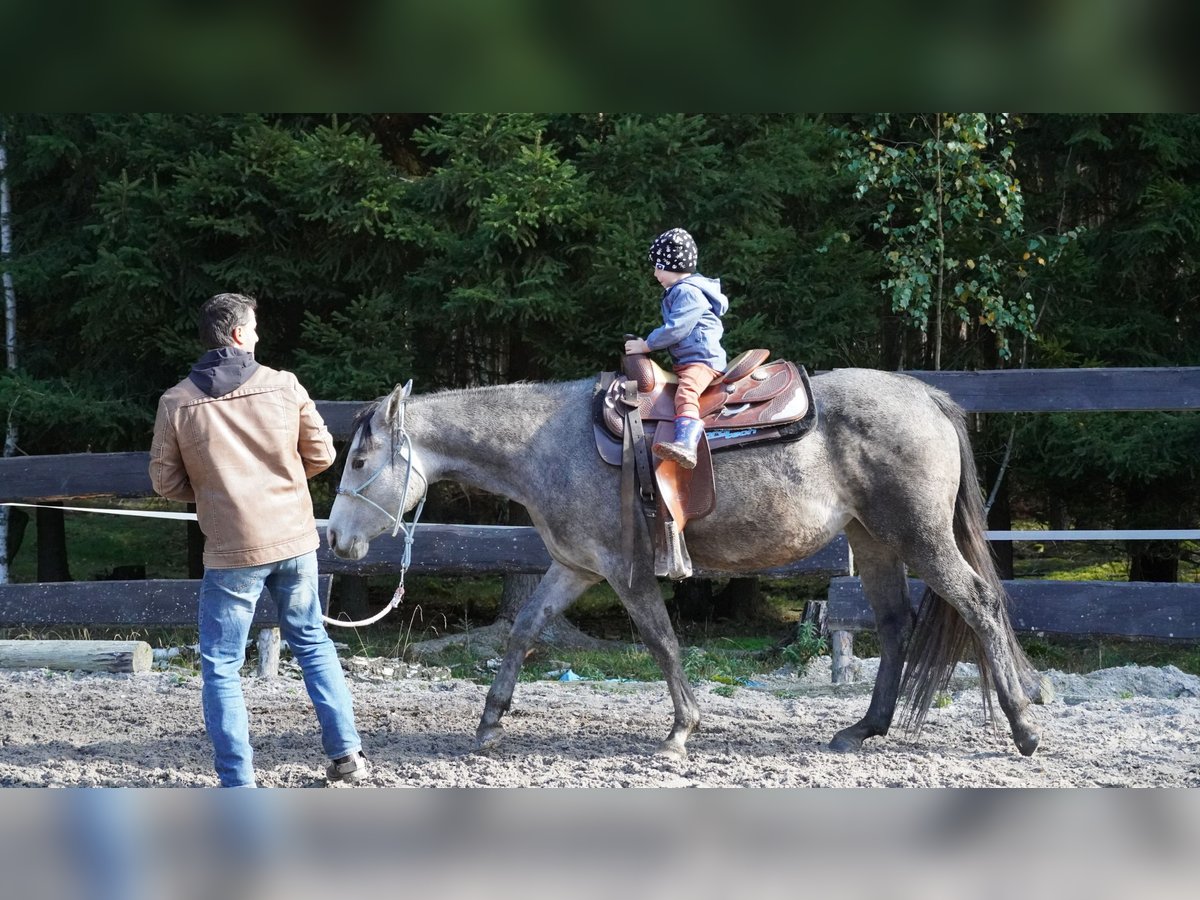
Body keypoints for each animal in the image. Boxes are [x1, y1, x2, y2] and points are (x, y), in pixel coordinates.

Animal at [324, 367, 1046, 763]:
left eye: (359, 459)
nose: (336, 542)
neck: (547, 443)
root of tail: (926, 399)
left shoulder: (624, 572)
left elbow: (662, 643)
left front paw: (681, 730)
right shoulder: (576, 568)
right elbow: (524, 630)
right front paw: (489, 722)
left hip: (921, 538)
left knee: (980, 604)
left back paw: (1022, 726)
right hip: (871, 543)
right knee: (896, 625)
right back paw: (863, 729)